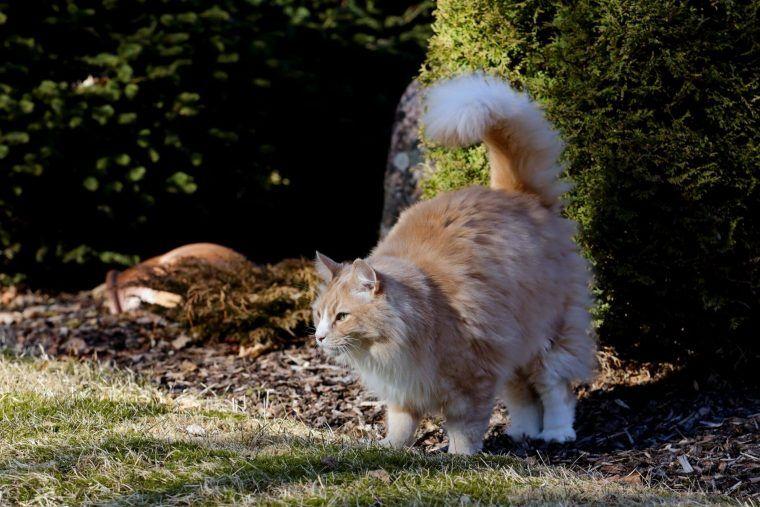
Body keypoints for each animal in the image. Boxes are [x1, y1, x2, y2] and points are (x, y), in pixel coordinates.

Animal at [312, 73, 596, 454]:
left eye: (342, 317)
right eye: (319, 315)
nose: (319, 337)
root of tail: (517, 194)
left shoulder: (472, 379)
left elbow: (465, 426)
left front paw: (459, 457)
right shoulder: (406, 389)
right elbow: (400, 422)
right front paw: (391, 449)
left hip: (548, 337)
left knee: (556, 389)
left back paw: (556, 432)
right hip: (511, 346)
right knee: (522, 395)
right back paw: (522, 432)